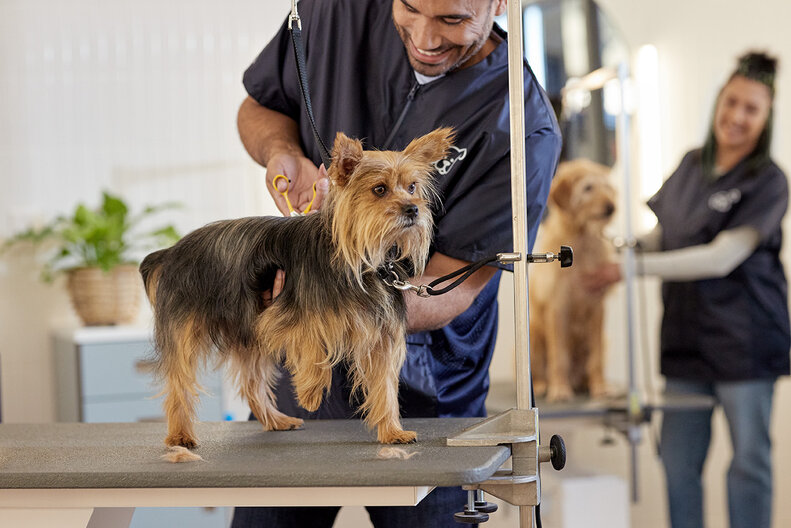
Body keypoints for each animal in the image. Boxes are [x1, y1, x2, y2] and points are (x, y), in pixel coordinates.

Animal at [139, 128, 453, 449]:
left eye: (412, 187)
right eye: (379, 189)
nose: (413, 209)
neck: (360, 257)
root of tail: (170, 253)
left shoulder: (380, 337)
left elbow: (385, 387)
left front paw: (392, 431)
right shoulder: (284, 313)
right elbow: (311, 338)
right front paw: (311, 392)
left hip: (247, 333)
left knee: (251, 384)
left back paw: (276, 420)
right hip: (189, 329)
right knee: (180, 383)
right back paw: (180, 435)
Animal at [529, 159, 617, 402]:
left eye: (607, 187)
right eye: (588, 188)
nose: (611, 207)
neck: (582, 240)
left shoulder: (597, 308)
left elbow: (595, 357)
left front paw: (600, 387)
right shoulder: (558, 307)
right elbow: (559, 355)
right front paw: (560, 388)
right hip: (533, 335)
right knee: (538, 370)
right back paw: (543, 385)